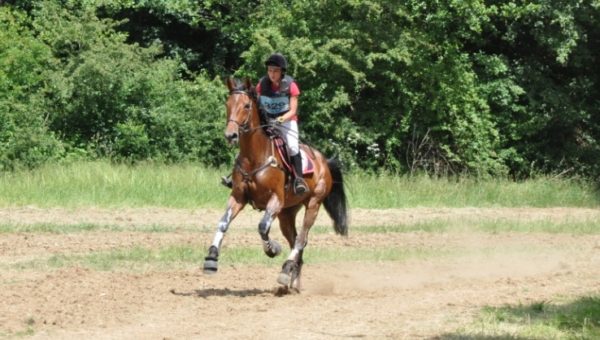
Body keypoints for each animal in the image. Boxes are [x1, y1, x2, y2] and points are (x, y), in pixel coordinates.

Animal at [204, 77, 350, 290]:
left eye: (246, 106)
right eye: (227, 104)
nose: (230, 135)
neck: (254, 156)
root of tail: (324, 161)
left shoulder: (275, 200)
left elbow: (262, 227)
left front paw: (272, 249)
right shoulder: (238, 197)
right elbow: (223, 222)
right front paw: (211, 258)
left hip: (313, 204)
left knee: (301, 239)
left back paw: (287, 270)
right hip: (286, 213)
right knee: (296, 241)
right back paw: (291, 279)